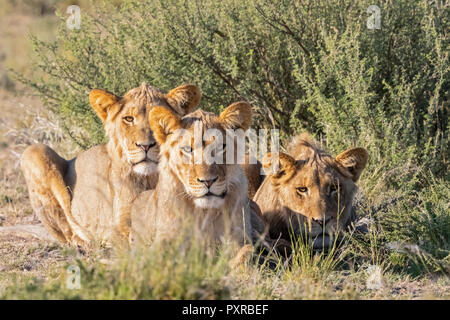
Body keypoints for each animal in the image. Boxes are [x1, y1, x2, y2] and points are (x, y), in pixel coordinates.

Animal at [21, 82, 200, 248]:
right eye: (129, 119)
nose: (146, 146)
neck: (151, 177)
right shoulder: (120, 222)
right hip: (34, 151)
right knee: (67, 230)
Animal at [128, 101, 266, 254]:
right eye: (188, 149)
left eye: (220, 148)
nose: (208, 181)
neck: (204, 213)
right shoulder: (164, 237)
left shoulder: (239, 236)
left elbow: (246, 251)